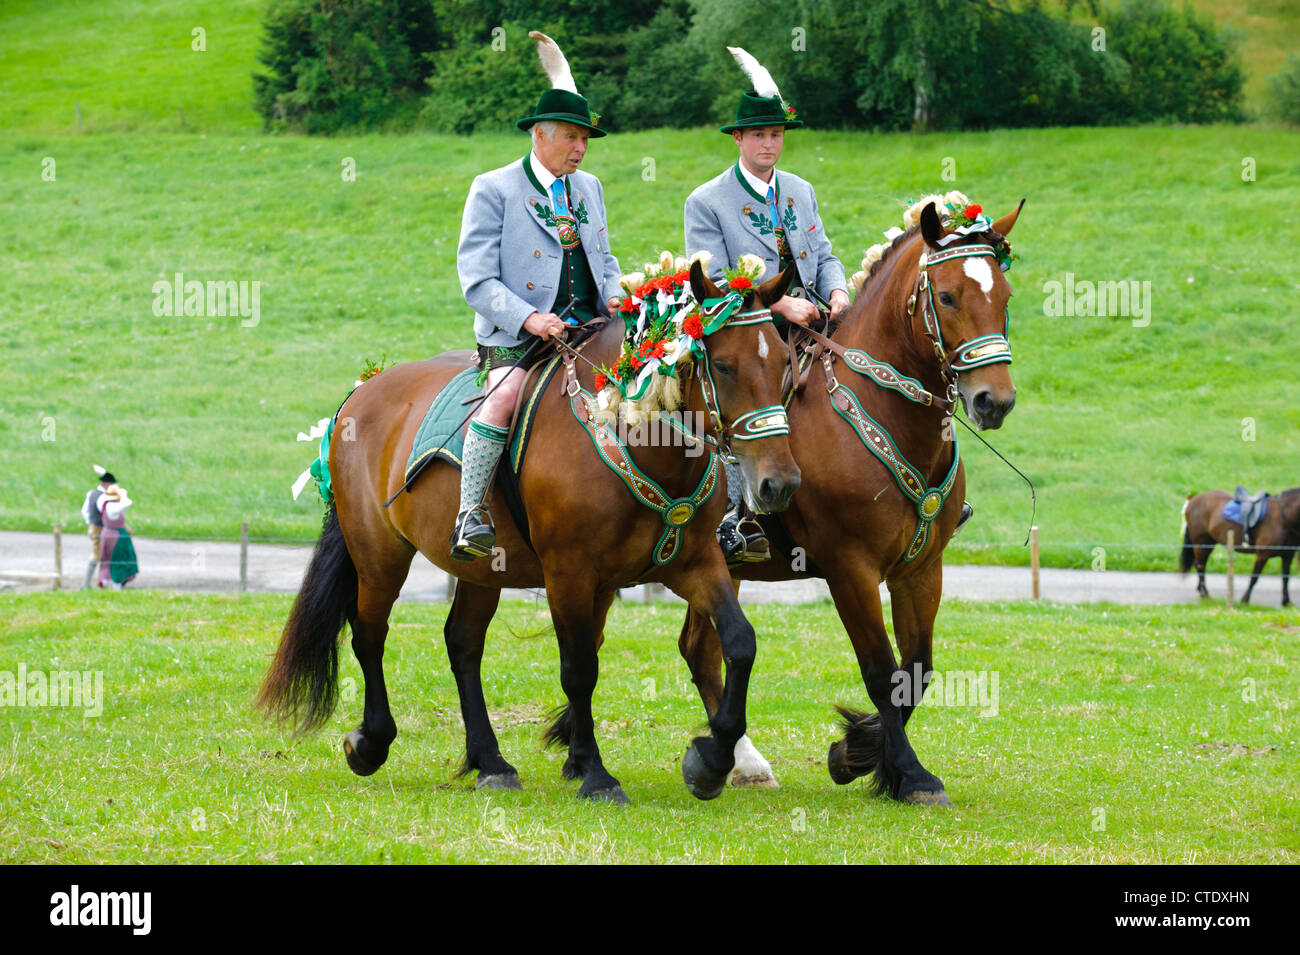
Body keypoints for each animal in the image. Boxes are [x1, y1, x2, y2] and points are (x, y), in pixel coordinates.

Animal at [256, 261, 800, 805]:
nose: (779, 484)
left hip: (480, 569)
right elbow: (579, 670)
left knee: (462, 643)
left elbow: (739, 642)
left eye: (783, 365)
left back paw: (490, 761)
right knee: (369, 633)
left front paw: (710, 760)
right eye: (724, 366)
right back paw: (372, 742)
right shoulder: (568, 573)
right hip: (379, 553)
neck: (629, 435)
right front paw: (597, 775)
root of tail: (364, 390)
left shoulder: (693, 562)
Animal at [676, 201, 1019, 805]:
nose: (993, 401)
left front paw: (861, 754)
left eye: (1004, 296)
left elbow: (917, 671)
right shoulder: (849, 568)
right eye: (947, 296)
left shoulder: (921, 569)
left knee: (700, 647)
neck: (883, 415)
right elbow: (881, 669)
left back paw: (737, 759)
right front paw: (905, 772)